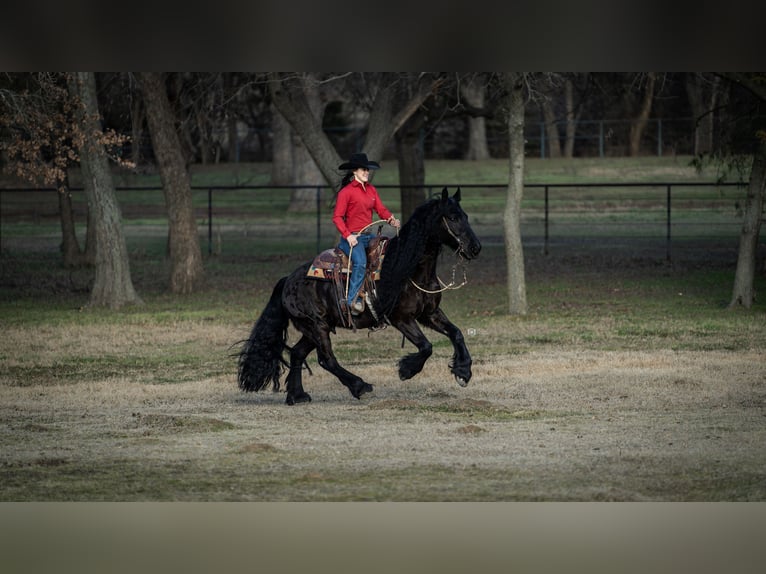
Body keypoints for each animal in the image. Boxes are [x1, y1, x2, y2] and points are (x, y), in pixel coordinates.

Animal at [237, 189, 484, 404]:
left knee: (298, 354)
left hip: (314, 328)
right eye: (452, 217)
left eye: (465, 216)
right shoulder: (401, 318)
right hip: (316, 326)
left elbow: (456, 333)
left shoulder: (429, 313)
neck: (409, 268)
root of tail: (287, 280)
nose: (475, 248)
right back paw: (360, 386)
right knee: (327, 359)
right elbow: (426, 346)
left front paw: (463, 372)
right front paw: (406, 370)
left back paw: (296, 396)